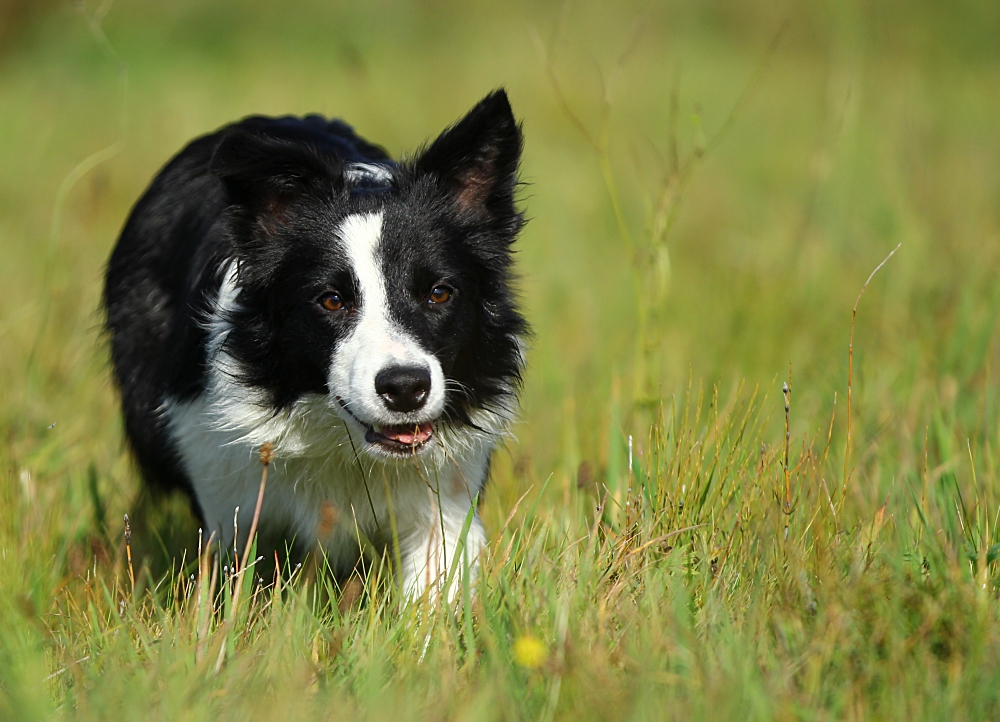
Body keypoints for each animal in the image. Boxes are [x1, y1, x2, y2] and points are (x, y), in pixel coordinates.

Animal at [103, 89, 527, 599]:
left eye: (439, 293)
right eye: (331, 300)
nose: (405, 388)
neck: (341, 443)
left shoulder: (445, 499)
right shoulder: (222, 492)